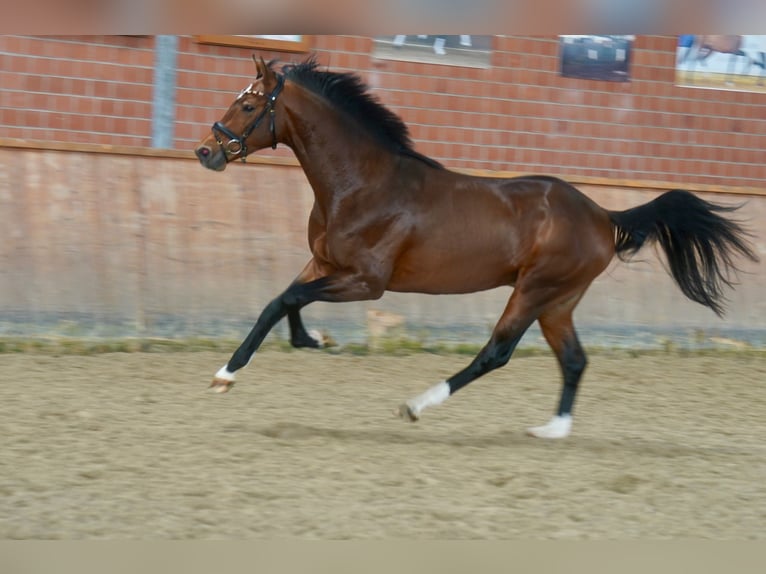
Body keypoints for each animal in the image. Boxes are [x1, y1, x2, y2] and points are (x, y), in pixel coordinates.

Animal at [195, 56, 760, 438]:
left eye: (248, 104)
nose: (206, 151)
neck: (363, 184)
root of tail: (603, 215)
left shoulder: (366, 282)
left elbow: (285, 299)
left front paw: (230, 373)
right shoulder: (323, 262)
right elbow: (280, 303)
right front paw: (307, 343)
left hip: (534, 291)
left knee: (497, 352)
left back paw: (416, 405)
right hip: (558, 301)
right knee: (574, 360)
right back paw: (552, 430)